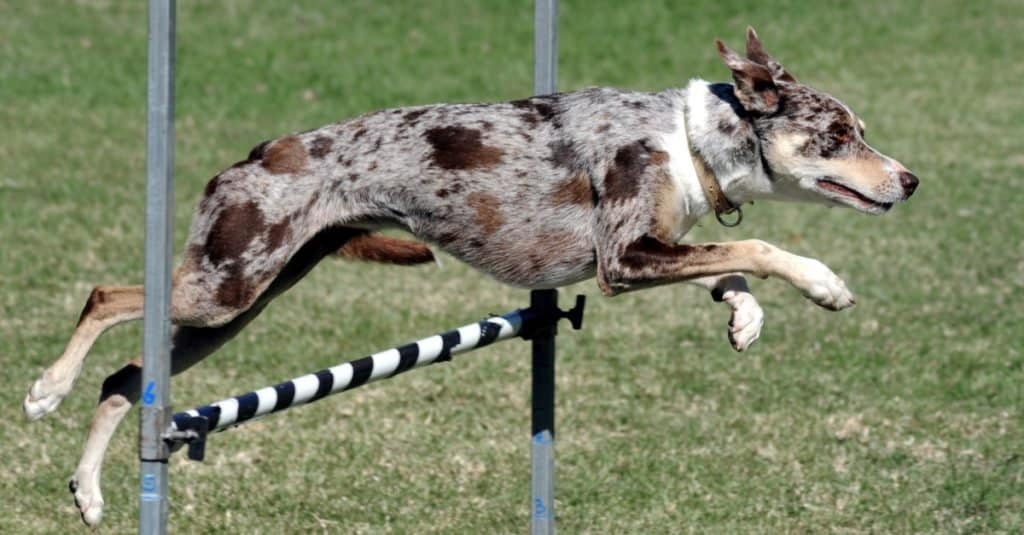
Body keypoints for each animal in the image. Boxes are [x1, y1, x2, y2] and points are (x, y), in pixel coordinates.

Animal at [24, 27, 921, 522]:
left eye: (862, 129)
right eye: (840, 135)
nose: (911, 180)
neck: (688, 138)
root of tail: (254, 153)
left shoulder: (645, 249)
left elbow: (727, 262)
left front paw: (743, 315)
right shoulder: (623, 258)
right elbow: (760, 247)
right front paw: (821, 282)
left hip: (240, 301)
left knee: (128, 374)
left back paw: (89, 491)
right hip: (225, 285)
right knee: (107, 296)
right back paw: (44, 388)